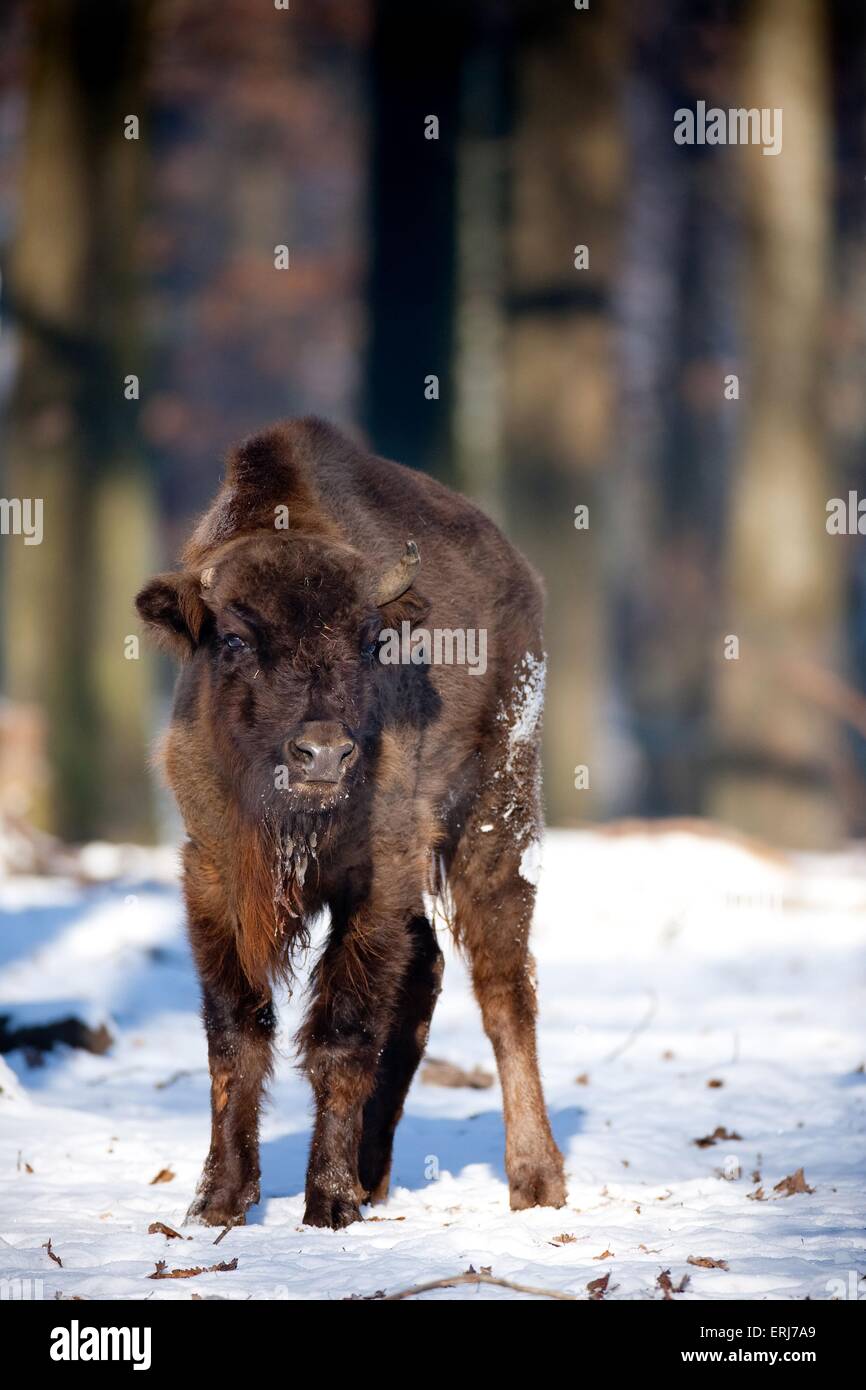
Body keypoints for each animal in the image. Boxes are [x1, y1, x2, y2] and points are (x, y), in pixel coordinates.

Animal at [134, 414, 569, 1228]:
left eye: (368, 640)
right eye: (234, 639)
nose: (324, 754)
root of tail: (522, 577)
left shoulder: (377, 879)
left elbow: (343, 1034)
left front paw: (328, 1203)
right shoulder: (212, 875)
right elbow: (235, 1034)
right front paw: (219, 1200)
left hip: (498, 818)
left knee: (504, 989)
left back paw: (535, 1181)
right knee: (426, 974)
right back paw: (376, 1174)